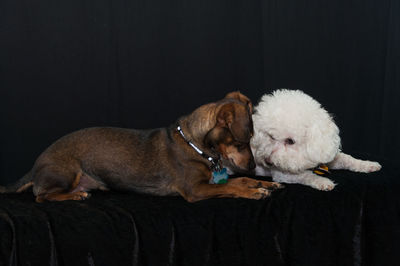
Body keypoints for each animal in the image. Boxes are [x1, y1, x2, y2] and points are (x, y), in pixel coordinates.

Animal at [0, 91, 282, 202]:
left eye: (249, 141)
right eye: (241, 142)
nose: (254, 166)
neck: (195, 145)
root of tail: (35, 166)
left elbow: (239, 180)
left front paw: (263, 183)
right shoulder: (196, 190)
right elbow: (232, 186)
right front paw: (255, 190)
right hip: (67, 172)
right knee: (41, 196)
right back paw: (74, 196)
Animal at [252, 90, 382, 190]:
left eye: (290, 141)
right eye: (271, 136)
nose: (267, 162)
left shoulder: (328, 157)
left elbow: (348, 159)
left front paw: (367, 164)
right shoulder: (283, 175)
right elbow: (306, 175)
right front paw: (322, 181)